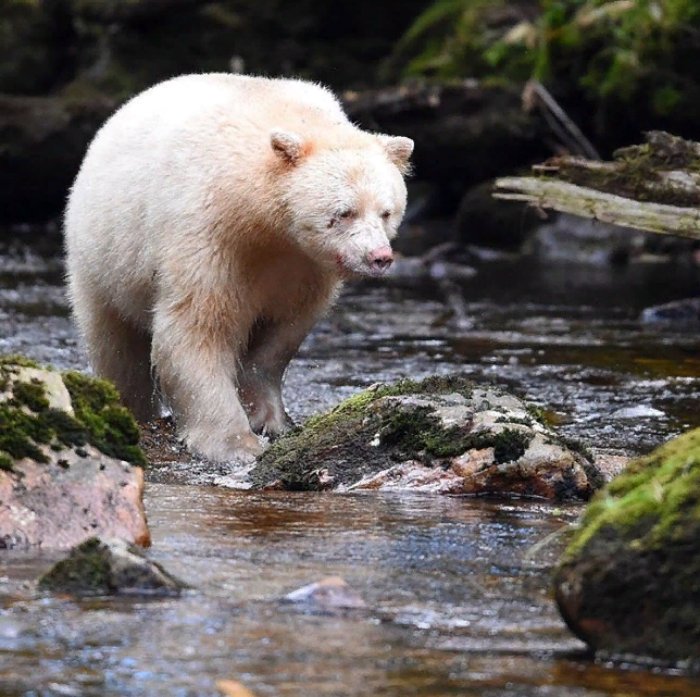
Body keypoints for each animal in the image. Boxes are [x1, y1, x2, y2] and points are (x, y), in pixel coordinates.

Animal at [63, 73, 412, 462]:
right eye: (344, 212)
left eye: (386, 212)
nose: (378, 257)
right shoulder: (207, 235)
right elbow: (196, 330)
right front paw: (235, 443)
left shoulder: (305, 266)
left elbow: (284, 329)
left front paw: (268, 416)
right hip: (101, 256)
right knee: (115, 345)